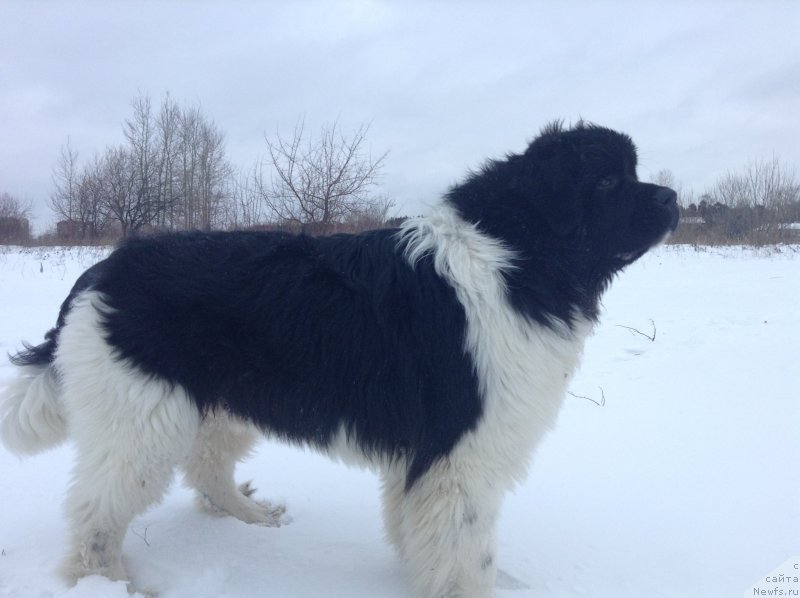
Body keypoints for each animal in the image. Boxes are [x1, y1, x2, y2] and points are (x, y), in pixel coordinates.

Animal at [0, 120, 680, 596]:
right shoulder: (463, 453)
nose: (674, 197)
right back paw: (109, 584)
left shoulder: (428, 460)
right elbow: (468, 552)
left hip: (217, 402)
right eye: (608, 181)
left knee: (206, 469)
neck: (520, 255)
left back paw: (252, 515)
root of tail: (99, 272)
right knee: (95, 515)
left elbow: (423, 532)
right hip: (144, 419)